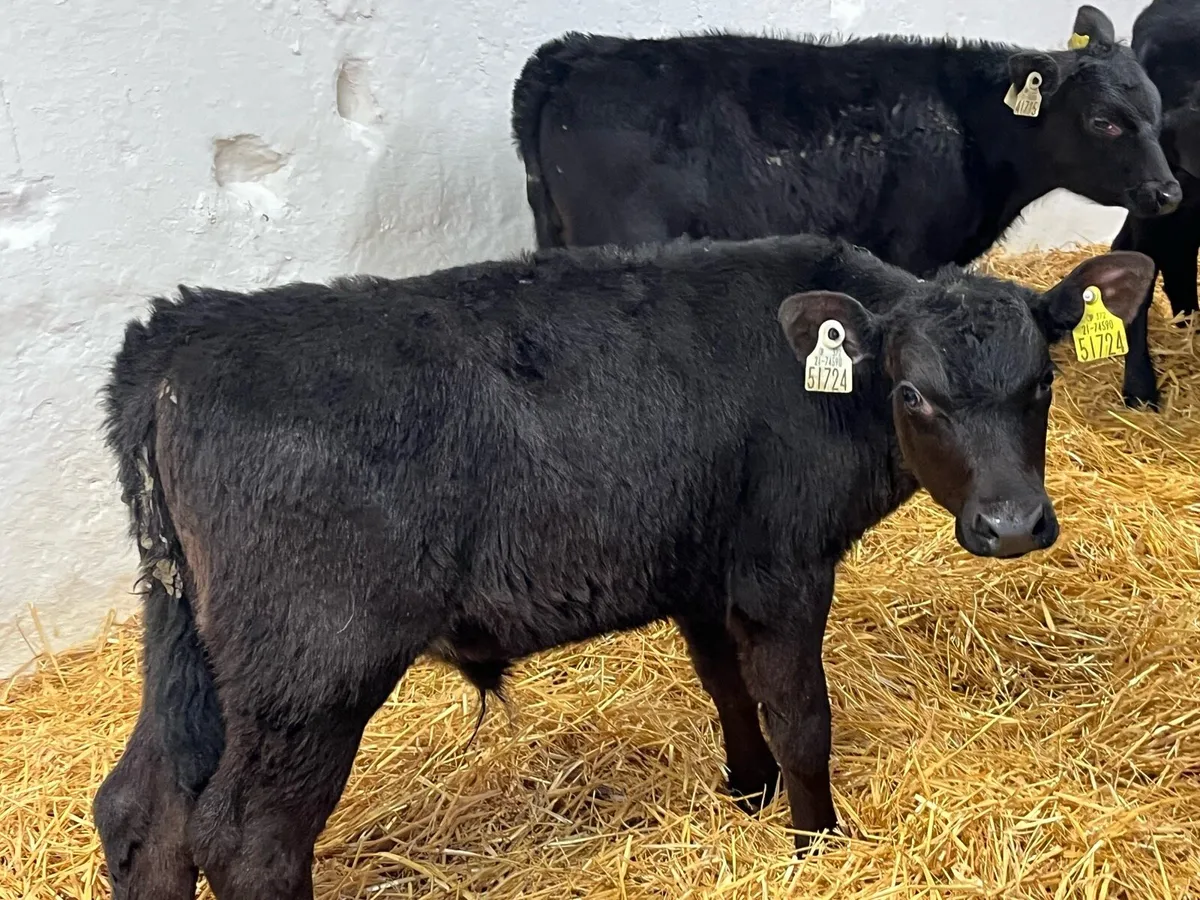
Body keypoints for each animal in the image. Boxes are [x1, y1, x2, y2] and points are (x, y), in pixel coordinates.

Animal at [92, 234, 1154, 899]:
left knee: (143, 810)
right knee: (247, 842)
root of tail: (180, 337)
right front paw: (815, 842)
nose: (1011, 524)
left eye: (1043, 380)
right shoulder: (780, 569)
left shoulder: (701, 568)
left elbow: (726, 687)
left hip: (189, 641)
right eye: (911, 393)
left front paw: (747, 793)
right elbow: (802, 717)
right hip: (312, 667)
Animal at [510, 4, 1178, 405]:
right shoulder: (913, 253)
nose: (1168, 192)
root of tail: (572, 53)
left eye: (1155, 108)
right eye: (1104, 121)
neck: (967, 127)